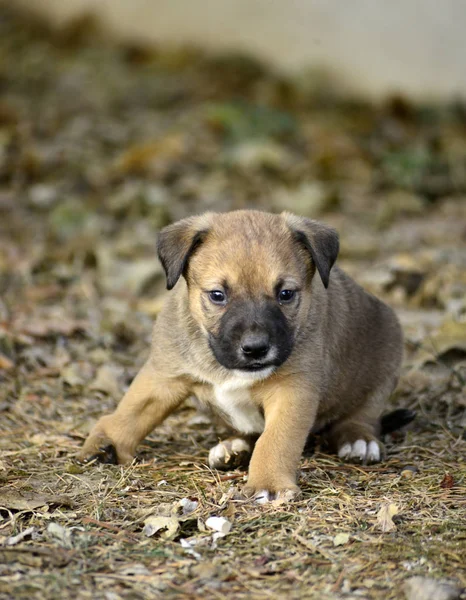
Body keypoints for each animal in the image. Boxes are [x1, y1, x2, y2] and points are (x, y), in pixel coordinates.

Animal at [79, 211, 404, 502]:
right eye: (217, 295)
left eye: (286, 294)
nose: (256, 348)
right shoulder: (164, 374)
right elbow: (132, 410)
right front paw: (109, 441)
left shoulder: (292, 392)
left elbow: (275, 441)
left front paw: (268, 483)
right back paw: (233, 448)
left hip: (384, 365)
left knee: (362, 417)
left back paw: (358, 441)